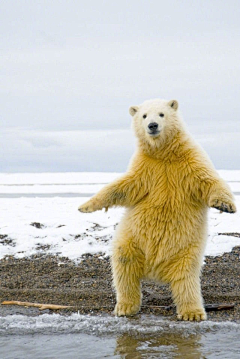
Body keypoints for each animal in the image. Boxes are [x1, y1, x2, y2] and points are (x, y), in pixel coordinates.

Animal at [79, 99, 236, 324]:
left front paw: (226, 205)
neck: (164, 154)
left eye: (161, 114)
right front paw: (85, 206)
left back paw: (193, 312)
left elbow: (209, 181)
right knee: (124, 265)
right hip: (132, 239)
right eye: (144, 115)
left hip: (186, 250)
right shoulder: (146, 168)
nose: (152, 125)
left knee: (186, 278)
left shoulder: (190, 162)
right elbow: (122, 187)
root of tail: (155, 271)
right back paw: (125, 306)